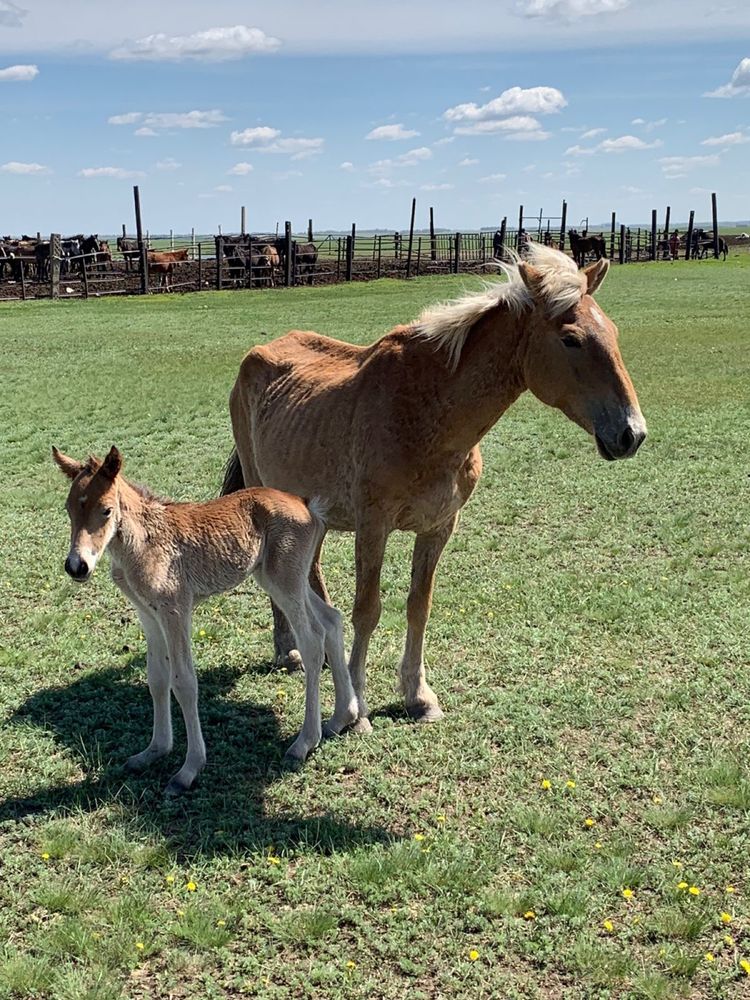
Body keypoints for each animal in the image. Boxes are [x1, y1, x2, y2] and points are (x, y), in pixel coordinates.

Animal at [53, 446, 358, 788]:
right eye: (68, 509)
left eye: (106, 510)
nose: (76, 566)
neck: (143, 542)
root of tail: (307, 506)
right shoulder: (147, 613)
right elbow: (156, 678)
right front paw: (154, 751)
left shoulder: (175, 608)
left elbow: (184, 681)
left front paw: (189, 769)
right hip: (280, 577)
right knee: (331, 620)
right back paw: (342, 718)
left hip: (285, 580)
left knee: (312, 641)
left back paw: (304, 742)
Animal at [222, 246, 648, 732]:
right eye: (571, 339)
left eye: (612, 331)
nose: (632, 433)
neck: (429, 413)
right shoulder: (374, 526)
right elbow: (368, 609)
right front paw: (357, 707)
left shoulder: (438, 527)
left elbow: (418, 606)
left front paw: (417, 696)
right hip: (265, 493)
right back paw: (288, 649)